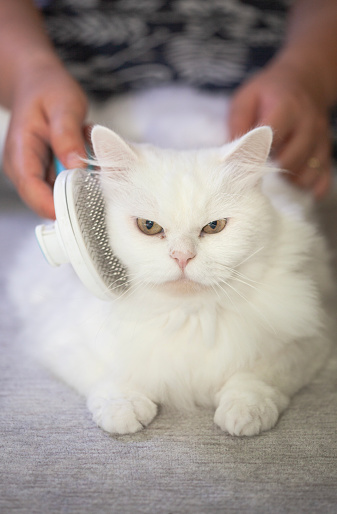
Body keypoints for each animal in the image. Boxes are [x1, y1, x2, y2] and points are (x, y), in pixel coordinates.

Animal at [10, 90, 330, 434]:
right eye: (149, 226)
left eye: (214, 227)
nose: (182, 256)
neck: (186, 316)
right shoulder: (59, 339)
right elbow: (108, 376)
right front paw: (124, 409)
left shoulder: (313, 338)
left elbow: (260, 375)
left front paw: (246, 412)